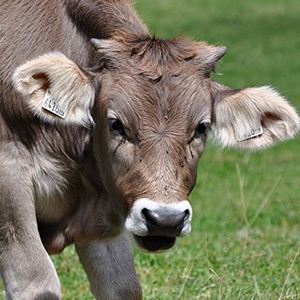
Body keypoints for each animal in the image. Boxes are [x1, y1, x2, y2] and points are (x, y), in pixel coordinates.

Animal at [0, 0, 300, 298]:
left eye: (202, 127)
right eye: (116, 124)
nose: (166, 219)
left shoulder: (105, 211)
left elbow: (123, 286)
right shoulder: (10, 179)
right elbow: (37, 282)